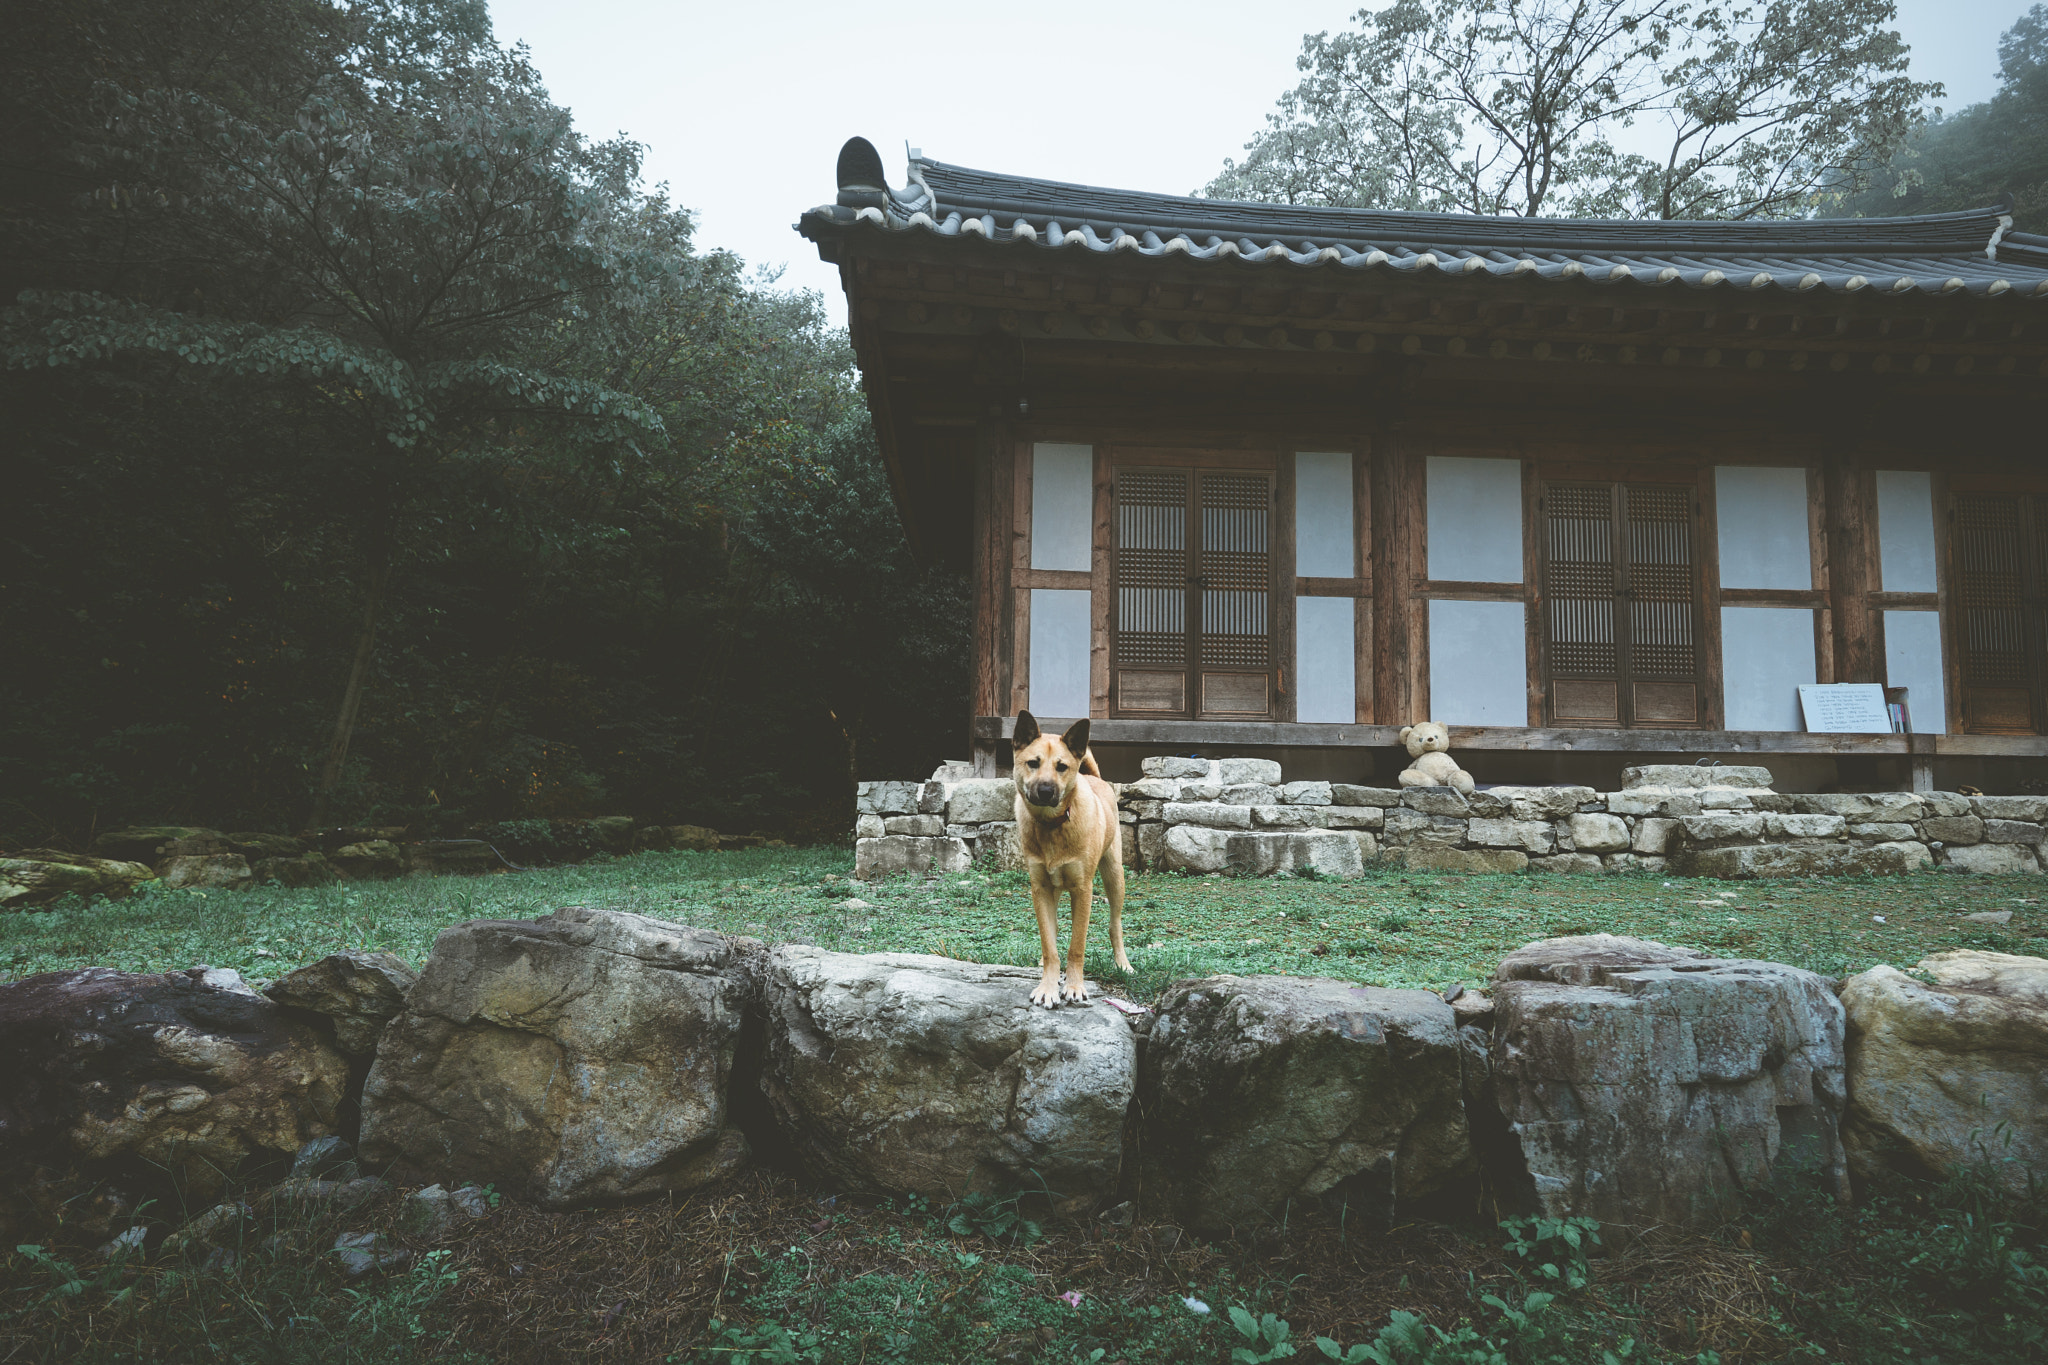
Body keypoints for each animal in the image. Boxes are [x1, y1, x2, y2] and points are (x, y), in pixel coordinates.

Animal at [1011, 716, 1138, 1002]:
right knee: (1054, 930)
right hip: (1055, 889)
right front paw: (1048, 987)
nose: (1046, 790)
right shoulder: (1040, 888)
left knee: (1115, 924)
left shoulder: (1083, 889)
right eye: (1033, 763)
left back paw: (1123, 964)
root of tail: (1093, 777)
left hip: (1114, 875)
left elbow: (1077, 945)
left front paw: (1075, 986)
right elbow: (1049, 944)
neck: (1052, 826)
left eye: (1062, 767)